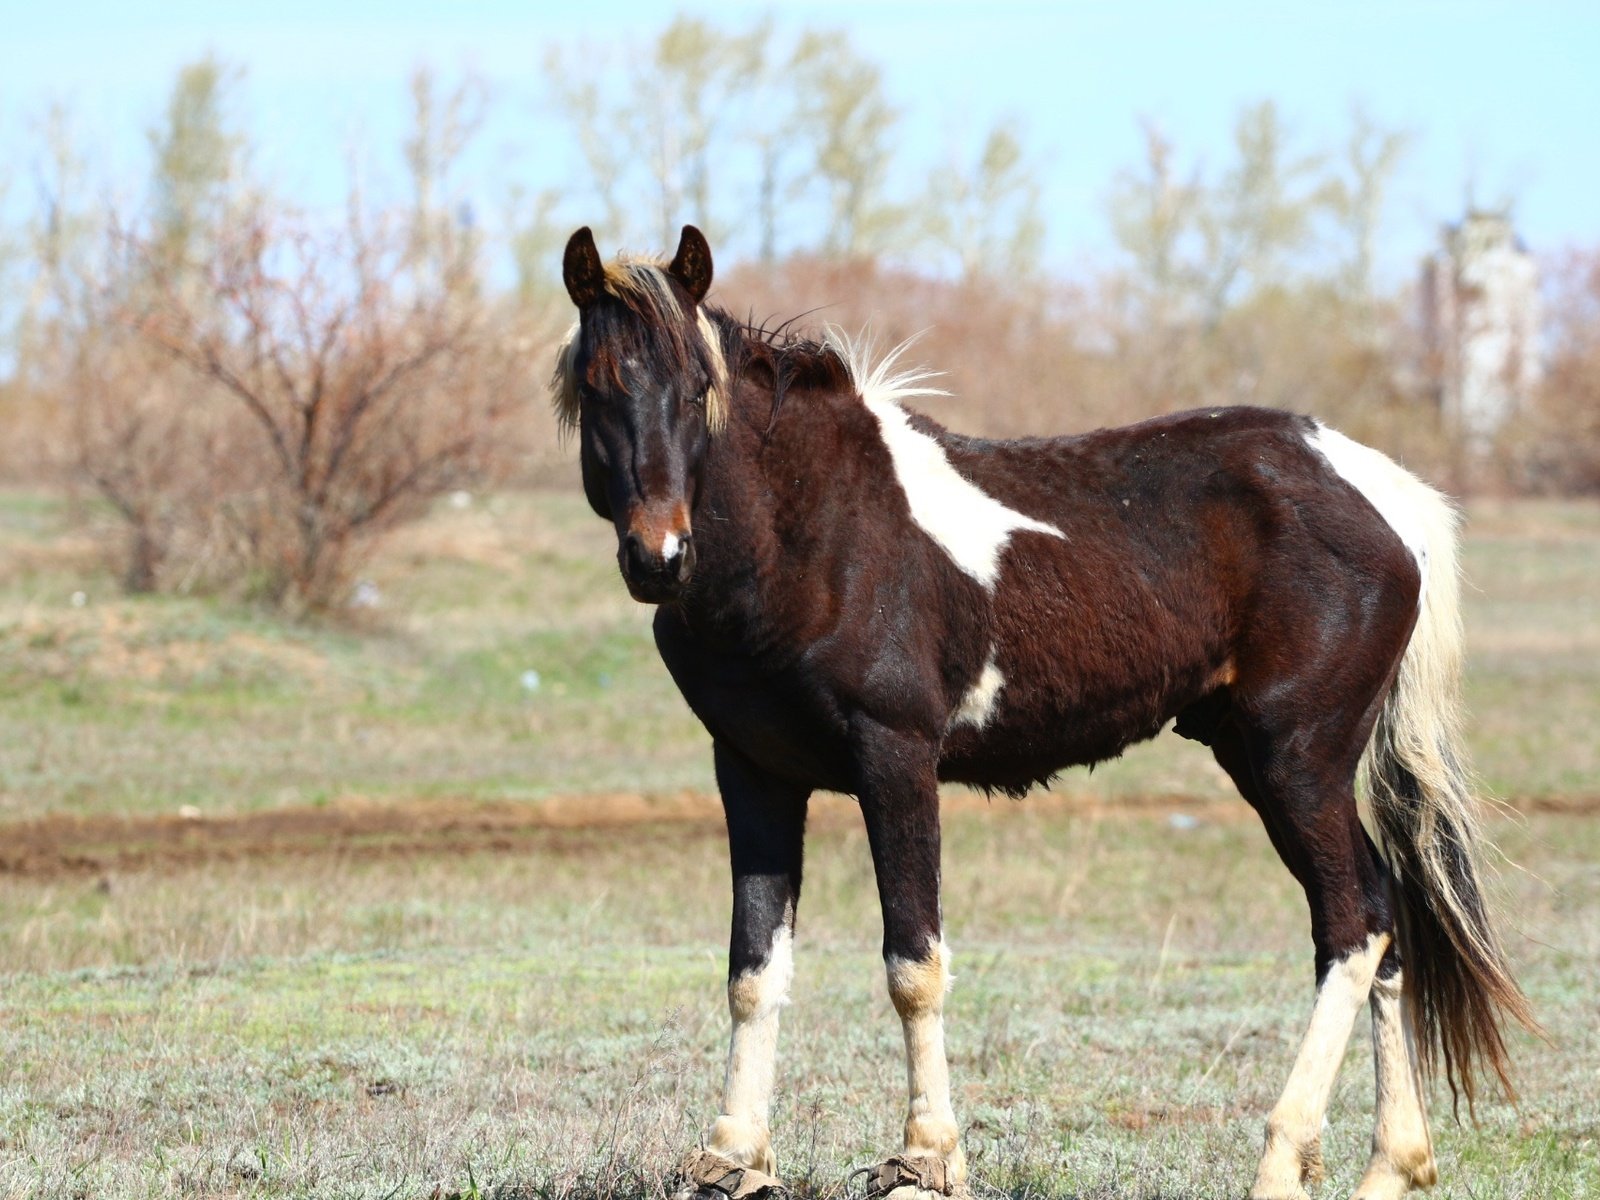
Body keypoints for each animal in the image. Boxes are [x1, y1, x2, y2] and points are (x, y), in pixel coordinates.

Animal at [553, 225, 1536, 1200]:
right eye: (596, 387)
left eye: (698, 389)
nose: (659, 557)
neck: (816, 535)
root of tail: (1384, 493)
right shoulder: (753, 773)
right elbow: (754, 970)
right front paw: (731, 1159)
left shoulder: (895, 760)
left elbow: (914, 964)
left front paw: (925, 1159)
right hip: (1267, 762)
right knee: (1385, 921)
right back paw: (1392, 1163)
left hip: (1297, 763)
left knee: (1353, 925)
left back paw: (1282, 1157)